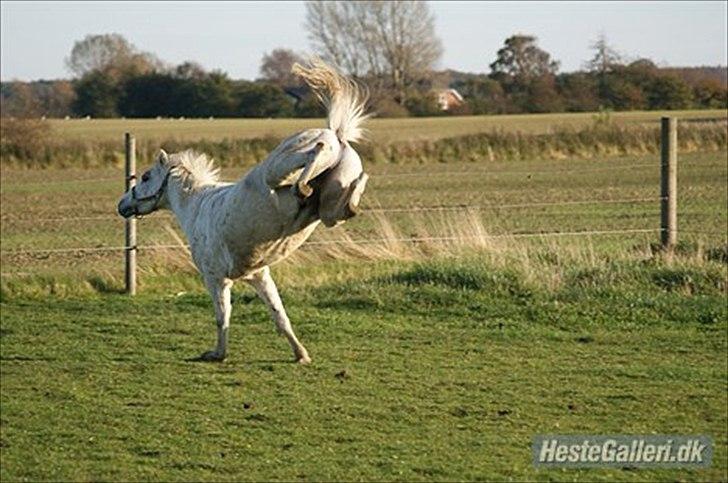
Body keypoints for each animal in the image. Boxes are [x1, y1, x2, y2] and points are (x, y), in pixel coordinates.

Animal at [117, 60, 369, 364]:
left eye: (145, 177)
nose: (122, 205)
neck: (196, 207)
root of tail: (335, 135)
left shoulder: (216, 278)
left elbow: (222, 317)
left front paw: (217, 354)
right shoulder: (258, 276)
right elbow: (279, 315)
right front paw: (300, 354)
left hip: (280, 167)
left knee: (312, 155)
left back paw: (304, 186)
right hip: (331, 210)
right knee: (350, 202)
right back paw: (346, 185)